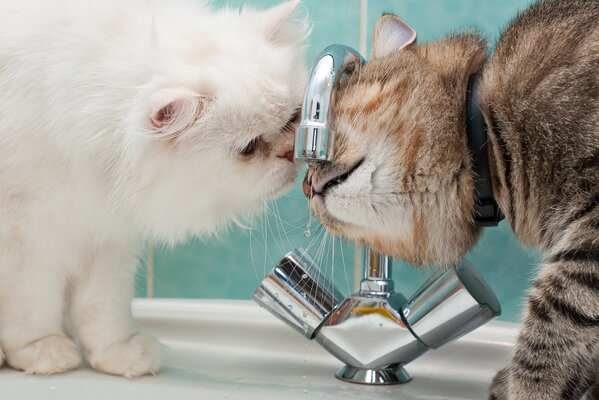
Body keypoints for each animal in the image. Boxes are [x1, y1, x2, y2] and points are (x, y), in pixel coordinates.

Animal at [0, 0, 310, 376]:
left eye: (294, 118)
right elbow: (32, 302)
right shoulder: (27, 235)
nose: (290, 154)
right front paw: (42, 351)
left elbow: (102, 306)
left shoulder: (108, 234)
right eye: (249, 148)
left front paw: (118, 355)